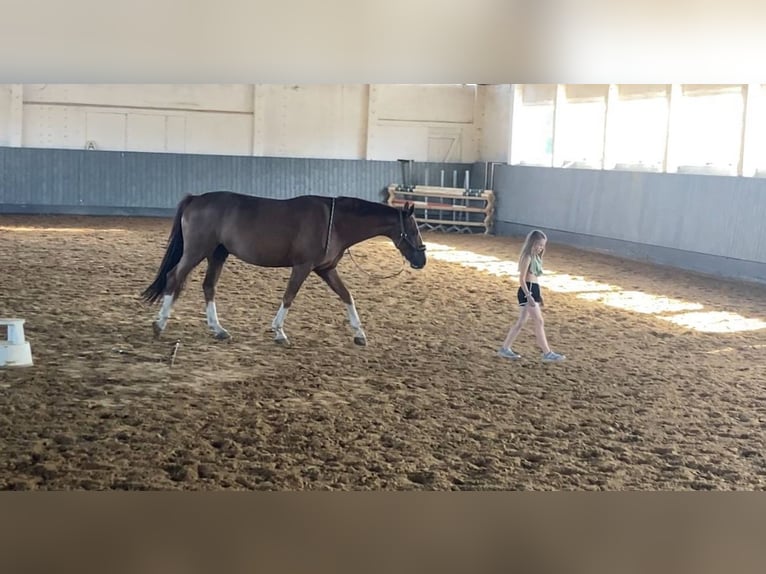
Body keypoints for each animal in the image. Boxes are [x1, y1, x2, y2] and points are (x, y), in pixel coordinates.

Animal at [141, 192, 428, 346]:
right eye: (414, 229)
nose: (421, 260)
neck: (334, 223)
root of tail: (195, 199)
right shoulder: (303, 266)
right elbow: (289, 296)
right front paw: (279, 332)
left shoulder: (325, 269)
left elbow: (347, 296)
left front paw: (359, 334)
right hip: (196, 251)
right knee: (174, 277)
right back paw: (159, 325)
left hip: (217, 254)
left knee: (208, 286)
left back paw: (218, 329)